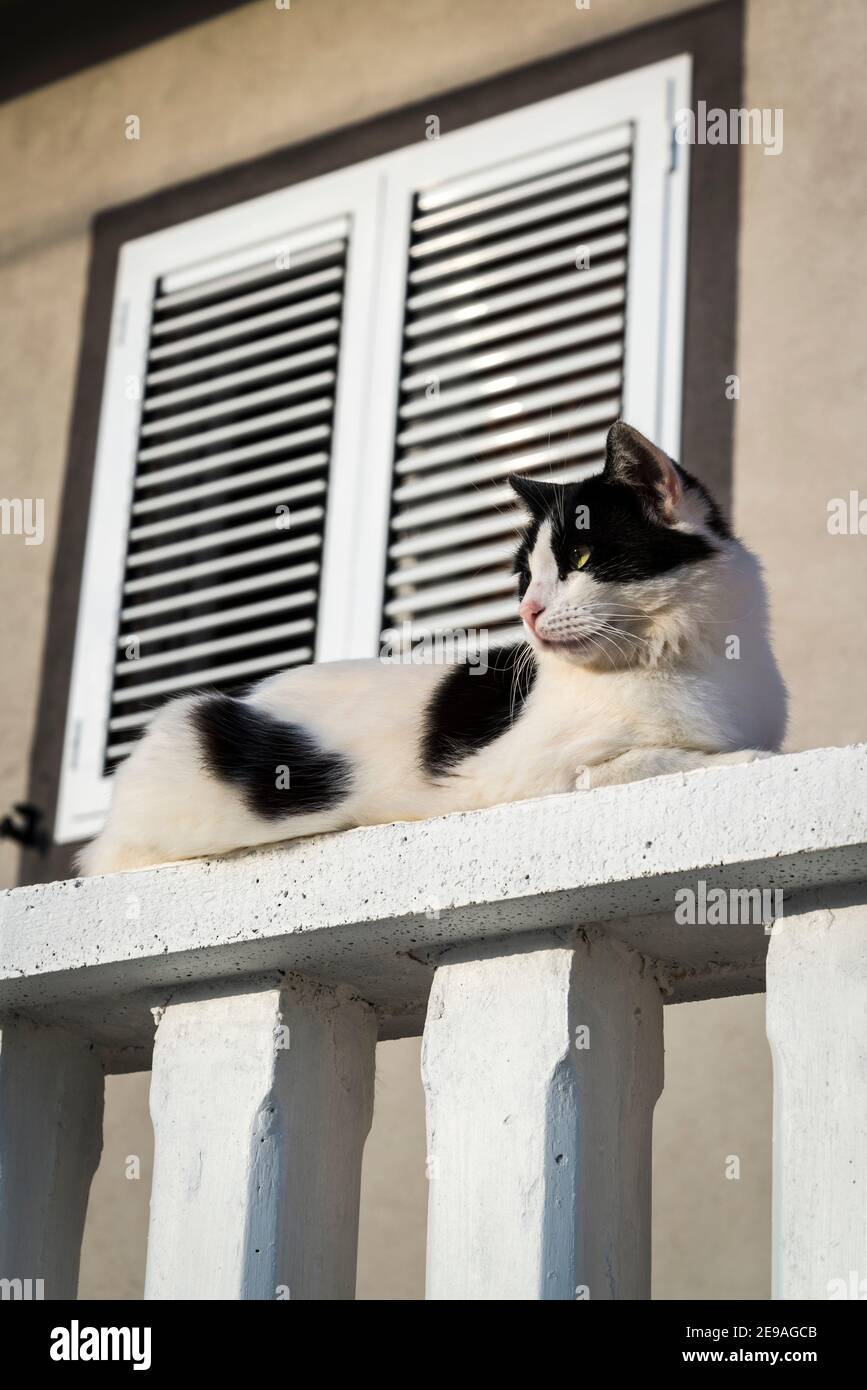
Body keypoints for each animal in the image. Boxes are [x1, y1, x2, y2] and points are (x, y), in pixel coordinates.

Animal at [79, 422, 783, 872]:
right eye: (525, 576)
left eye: (581, 558)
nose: (527, 611)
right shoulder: (516, 777)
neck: (680, 656)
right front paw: (741, 759)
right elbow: (639, 763)